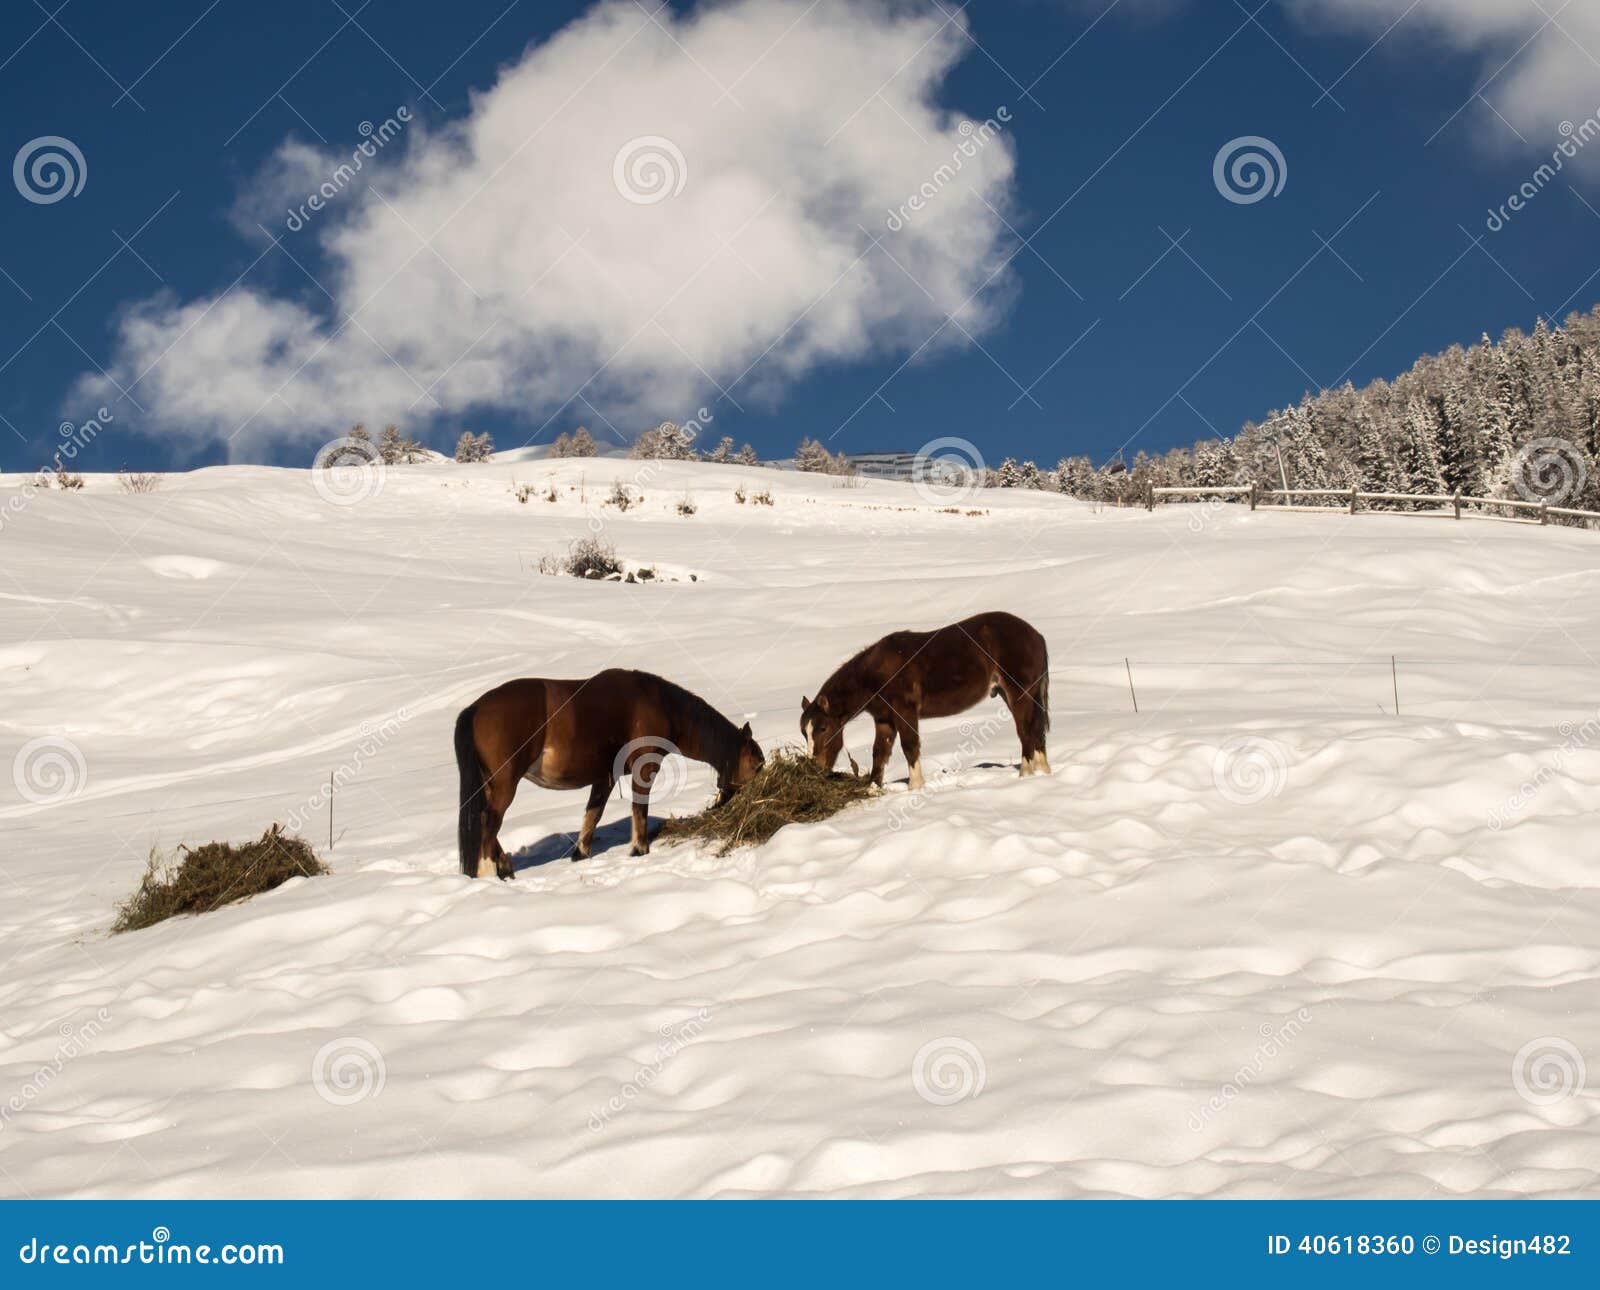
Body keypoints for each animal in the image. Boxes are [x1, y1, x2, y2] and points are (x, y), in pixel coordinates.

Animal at [454, 668, 765, 879]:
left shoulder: (605, 777)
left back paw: (505, 867)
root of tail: (475, 709)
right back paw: (488, 871)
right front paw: (639, 849)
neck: (658, 703)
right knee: (489, 822)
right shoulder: (644, 769)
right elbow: (639, 808)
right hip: (505, 783)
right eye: (757, 765)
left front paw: (581, 853)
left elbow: (594, 814)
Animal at [800, 611, 1050, 789]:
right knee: (1036, 731)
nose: (814, 766)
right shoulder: (884, 719)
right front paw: (873, 788)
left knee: (1025, 731)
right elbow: (879, 751)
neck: (877, 673)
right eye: (805, 732)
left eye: (823, 728)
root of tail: (1036, 635)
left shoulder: (905, 711)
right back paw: (1043, 771)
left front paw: (916, 786)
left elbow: (910, 746)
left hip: (1018, 694)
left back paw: (1025, 774)